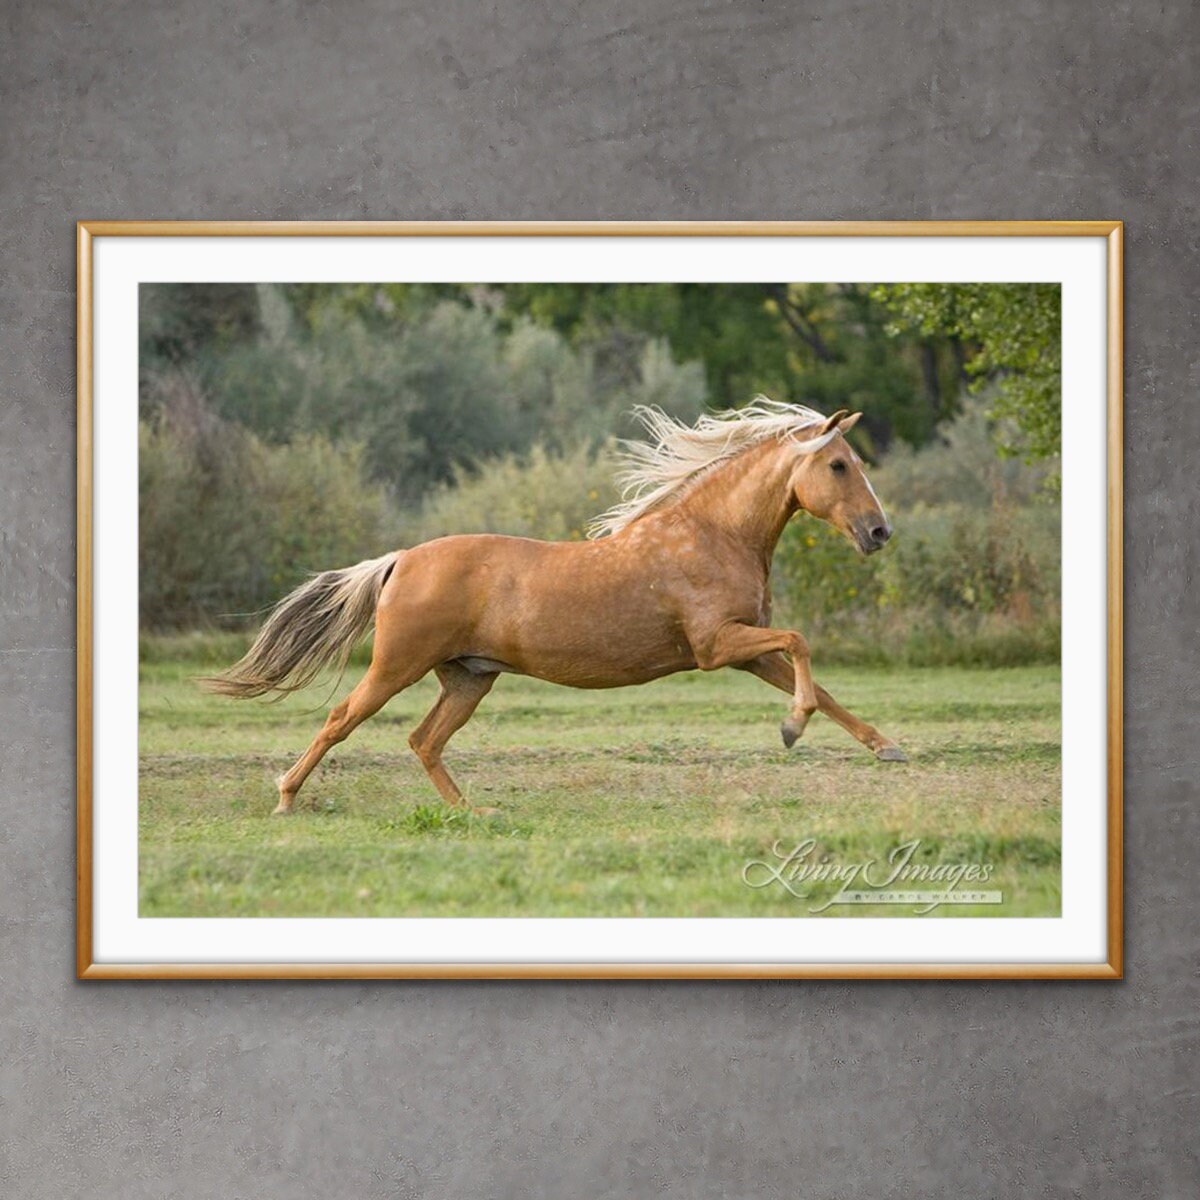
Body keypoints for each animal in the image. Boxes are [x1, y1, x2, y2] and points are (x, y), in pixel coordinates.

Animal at [205, 398, 906, 815]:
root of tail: (400, 559)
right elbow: (801, 645)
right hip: (396, 666)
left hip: (469, 678)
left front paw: (885, 747)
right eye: (839, 465)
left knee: (423, 740)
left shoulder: (745, 650)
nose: (879, 532)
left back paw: (469, 811)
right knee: (342, 719)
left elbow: (818, 684)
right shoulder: (717, 647)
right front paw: (792, 729)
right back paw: (286, 797)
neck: (712, 533)